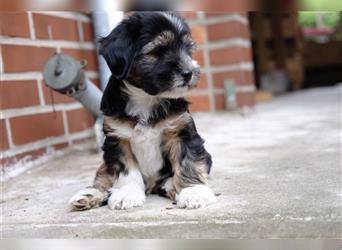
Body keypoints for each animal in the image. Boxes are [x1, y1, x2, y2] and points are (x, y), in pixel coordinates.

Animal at [69, 12, 216, 211]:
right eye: (158, 50)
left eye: (188, 50)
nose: (189, 72)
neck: (146, 98)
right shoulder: (117, 138)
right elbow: (126, 170)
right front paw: (127, 194)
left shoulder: (181, 131)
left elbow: (188, 160)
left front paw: (193, 191)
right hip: (106, 161)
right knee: (103, 176)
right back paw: (89, 195)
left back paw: (172, 185)